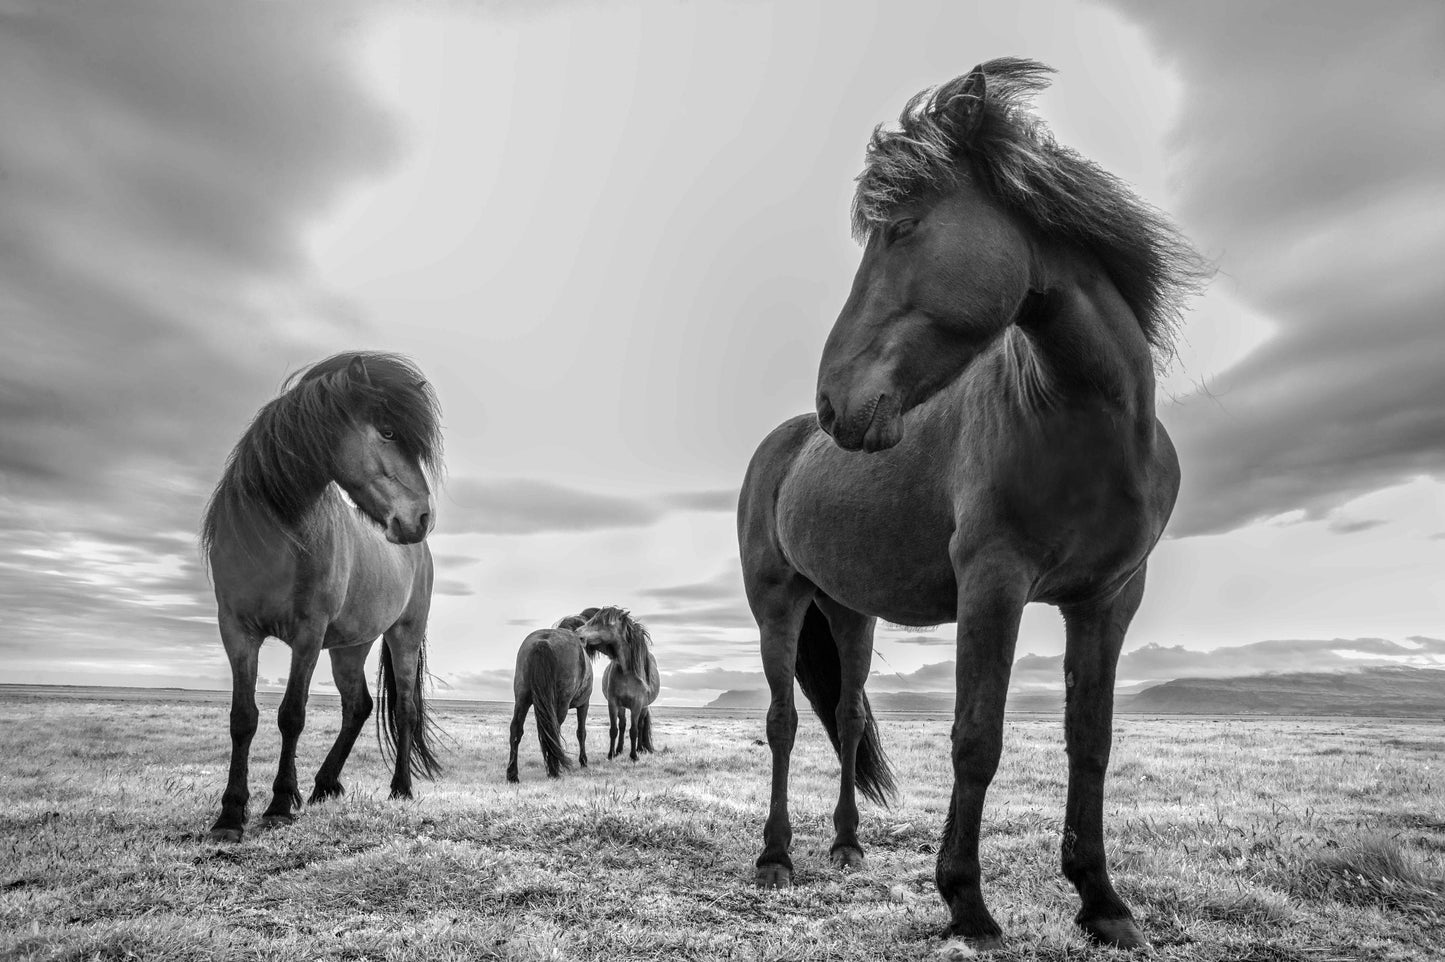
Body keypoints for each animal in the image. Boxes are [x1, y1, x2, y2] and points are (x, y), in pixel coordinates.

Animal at [200, 352, 445, 844]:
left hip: (403, 636)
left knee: (405, 709)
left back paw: (400, 789)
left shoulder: (308, 635)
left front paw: (278, 805)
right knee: (359, 706)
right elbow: (243, 718)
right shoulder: (236, 631)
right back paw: (323, 786)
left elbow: (291, 715)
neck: (274, 536)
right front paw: (230, 815)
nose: (422, 517)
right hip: (351, 646)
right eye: (387, 432)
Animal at [505, 609, 599, 781]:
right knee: (553, 729)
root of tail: (543, 643)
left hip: (522, 699)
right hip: (561, 704)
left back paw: (512, 774)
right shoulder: (584, 704)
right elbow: (581, 732)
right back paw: (554, 771)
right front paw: (583, 761)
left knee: (516, 729)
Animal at [575, 607, 659, 761]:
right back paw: (619, 750)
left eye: (603, 622)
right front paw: (611, 754)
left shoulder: (637, 704)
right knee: (623, 724)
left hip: (643, 707)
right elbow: (614, 729)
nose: (577, 634)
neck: (627, 672)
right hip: (622, 706)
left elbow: (634, 730)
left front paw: (634, 756)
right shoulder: (613, 703)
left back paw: (640, 748)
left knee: (640, 725)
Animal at [738, 59, 1210, 952]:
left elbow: (1088, 743)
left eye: (902, 228)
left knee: (844, 716)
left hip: (849, 614)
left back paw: (846, 845)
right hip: (776, 604)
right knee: (782, 722)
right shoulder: (993, 585)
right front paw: (966, 903)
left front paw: (1102, 902)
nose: (834, 404)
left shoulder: (1108, 598)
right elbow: (975, 739)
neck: (1085, 423)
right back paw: (775, 858)